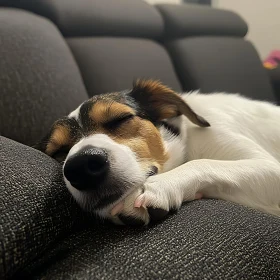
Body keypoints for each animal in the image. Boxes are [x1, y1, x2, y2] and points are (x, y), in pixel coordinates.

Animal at [35, 79, 280, 225]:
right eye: (59, 151)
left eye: (120, 119)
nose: (82, 166)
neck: (186, 140)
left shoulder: (270, 167)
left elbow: (201, 162)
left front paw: (159, 186)